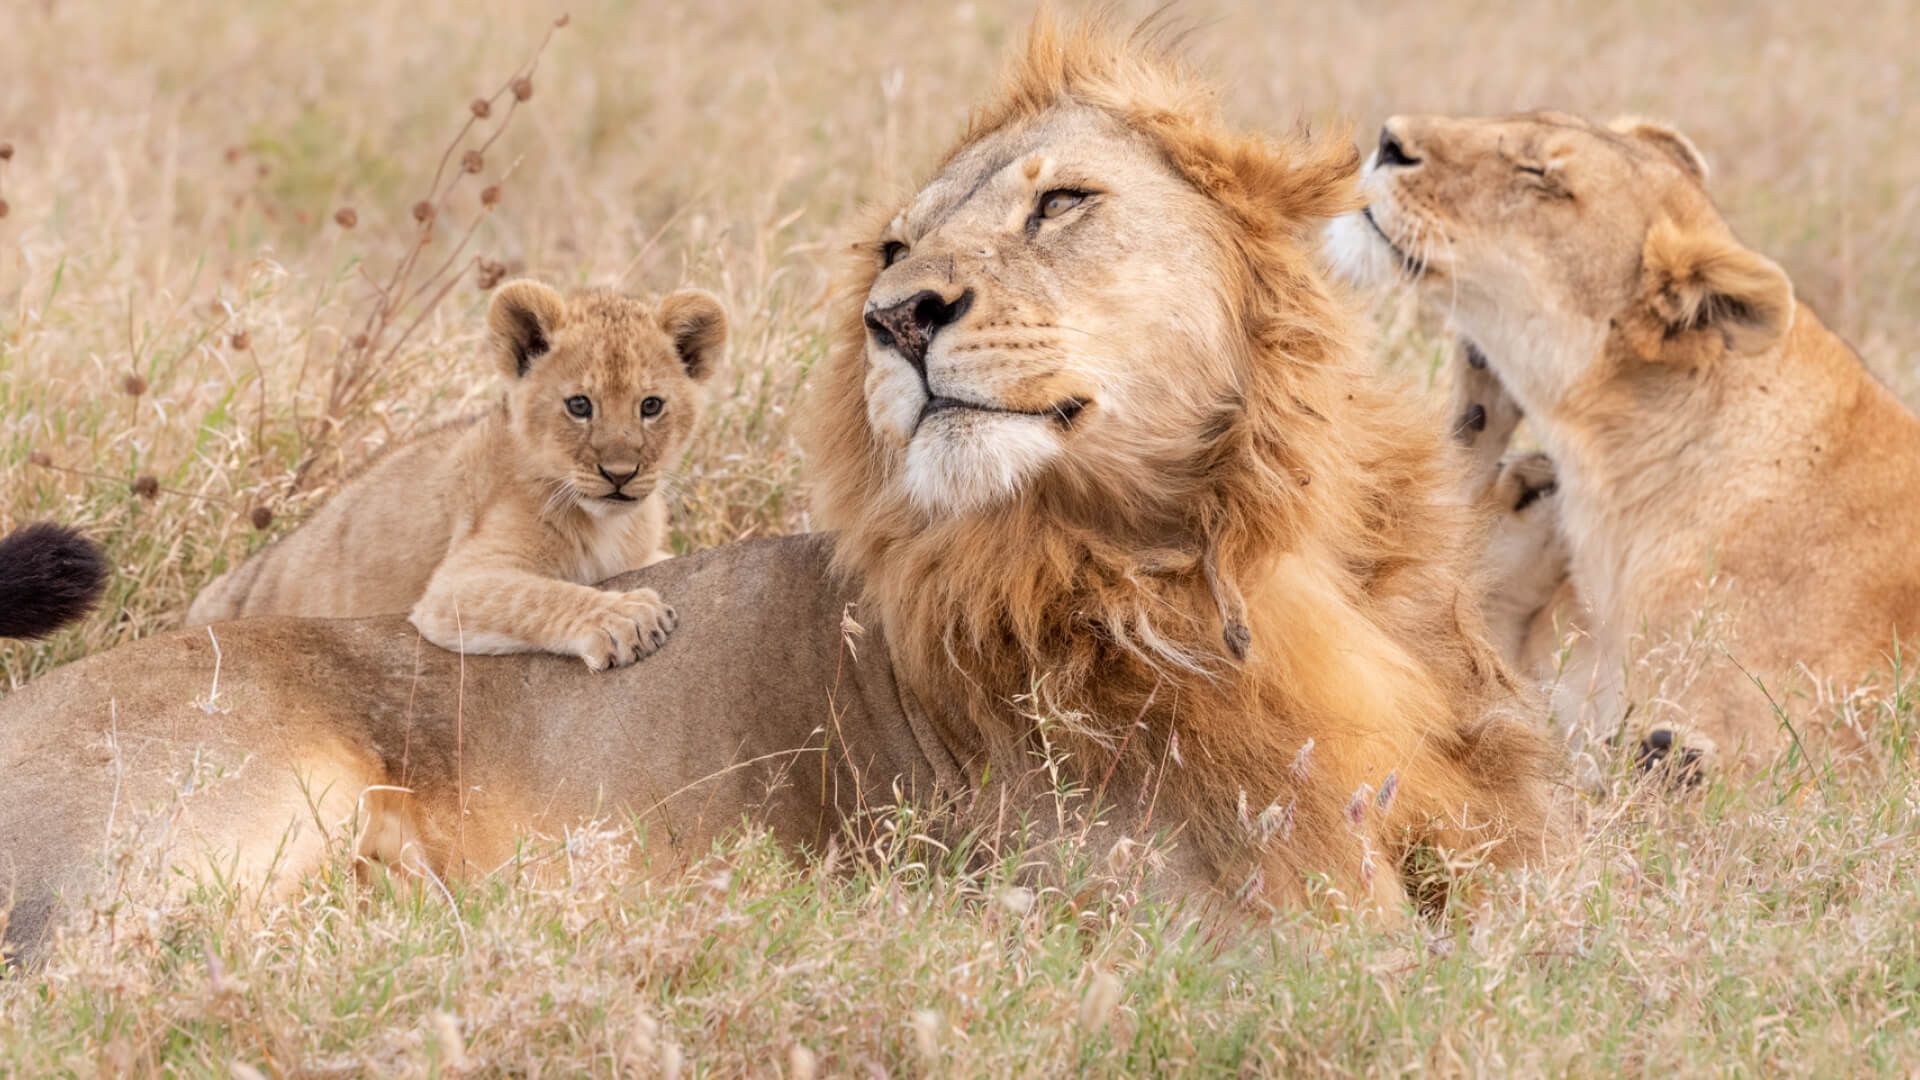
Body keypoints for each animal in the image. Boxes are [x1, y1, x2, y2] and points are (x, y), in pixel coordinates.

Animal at [185, 281, 726, 671]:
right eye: (579, 405)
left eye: (651, 406)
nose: (620, 474)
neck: (611, 522)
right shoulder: (453, 587)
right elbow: (535, 594)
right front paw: (627, 618)